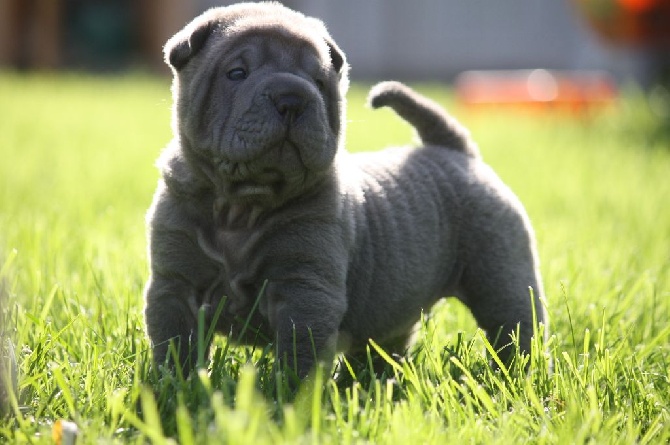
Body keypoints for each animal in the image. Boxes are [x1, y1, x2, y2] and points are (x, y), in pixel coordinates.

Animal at [144, 1, 548, 380]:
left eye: (318, 82)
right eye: (237, 73)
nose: (292, 96)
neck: (243, 206)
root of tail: (455, 150)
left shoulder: (306, 290)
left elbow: (300, 354)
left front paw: (293, 394)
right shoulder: (174, 285)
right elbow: (175, 344)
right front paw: (175, 384)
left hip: (500, 275)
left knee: (515, 326)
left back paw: (516, 372)